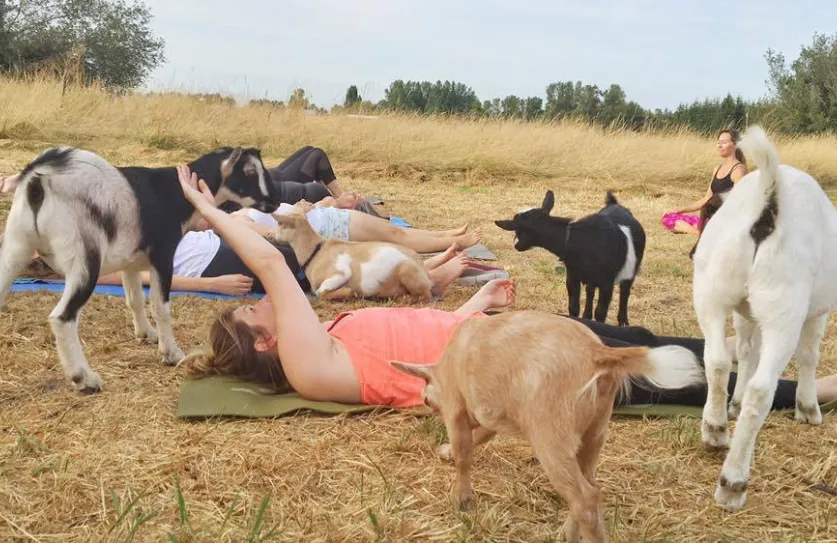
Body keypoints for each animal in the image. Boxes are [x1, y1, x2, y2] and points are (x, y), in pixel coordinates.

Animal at [0, 146, 278, 393]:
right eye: (250, 171)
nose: (274, 203)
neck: (175, 192)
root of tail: (38, 181)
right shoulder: (163, 256)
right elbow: (160, 307)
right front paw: (171, 353)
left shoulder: (130, 261)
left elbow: (134, 299)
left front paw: (146, 334)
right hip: (83, 256)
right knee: (62, 316)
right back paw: (85, 379)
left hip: (17, 243)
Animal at [266, 208, 433, 301]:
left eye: (279, 224)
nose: (269, 234)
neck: (316, 251)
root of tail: (425, 272)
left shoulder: (341, 272)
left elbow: (321, 292)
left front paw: (348, 293)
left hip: (406, 271)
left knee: (424, 295)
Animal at [392, 311, 704, 543]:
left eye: (426, 398)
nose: (426, 403)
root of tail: (597, 353)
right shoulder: (490, 416)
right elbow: (481, 435)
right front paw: (445, 452)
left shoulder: (456, 408)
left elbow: (464, 455)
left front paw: (462, 500)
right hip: (594, 434)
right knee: (589, 487)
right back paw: (567, 532)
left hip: (550, 438)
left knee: (586, 499)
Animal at [495, 190, 646, 326]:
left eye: (519, 231)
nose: (516, 245)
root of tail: (615, 204)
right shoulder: (572, 277)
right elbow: (573, 307)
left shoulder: (607, 284)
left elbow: (600, 312)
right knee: (590, 291)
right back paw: (586, 316)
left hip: (631, 269)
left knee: (625, 291)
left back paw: (623, 321)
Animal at [691, 125, 837, 512]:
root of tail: (770, 201)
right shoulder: (816, 311)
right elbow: (809, 355)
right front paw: (808, 409)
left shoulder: (745, 311)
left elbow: (745, 349)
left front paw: (735, 402)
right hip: (784, 307)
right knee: (763, 388)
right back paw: (734, 482)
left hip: (711, 288)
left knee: (717, 359)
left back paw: (715, 429)